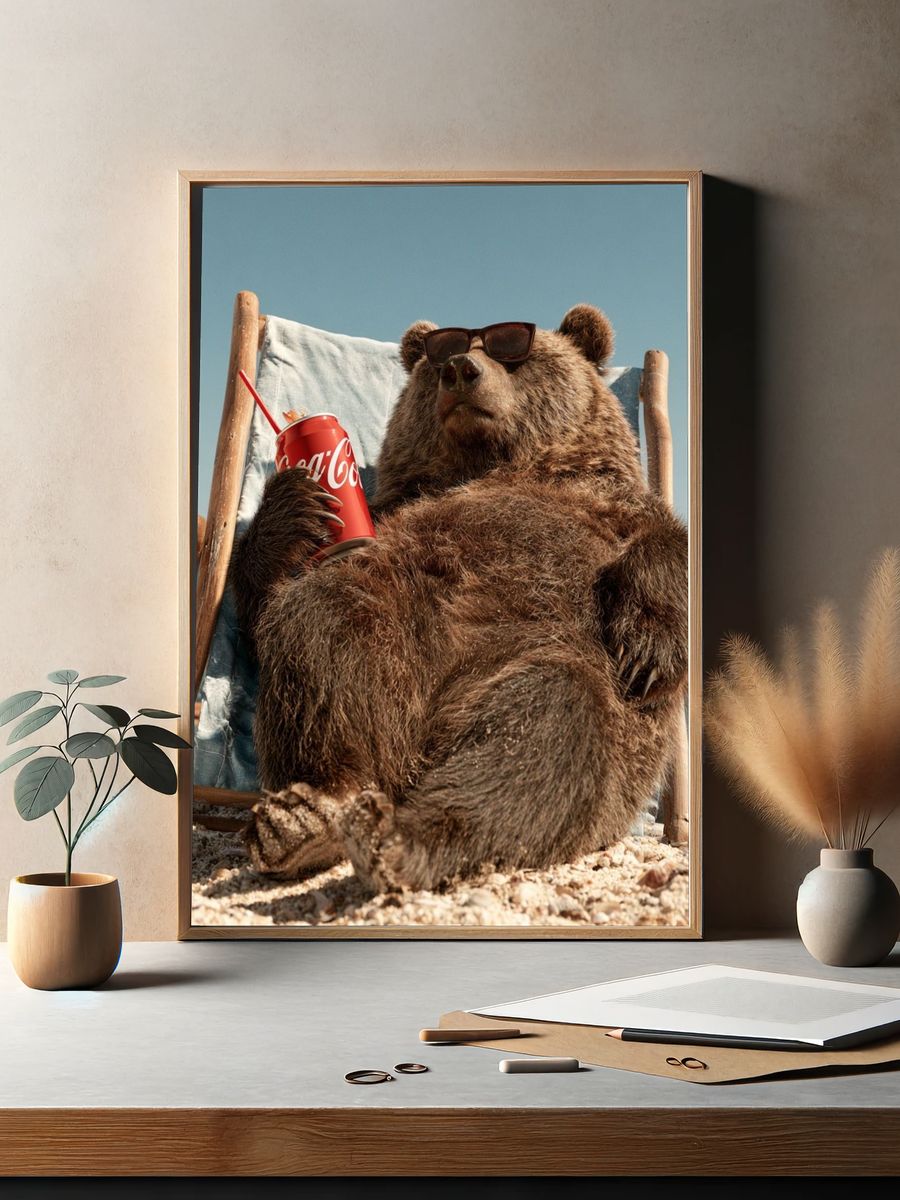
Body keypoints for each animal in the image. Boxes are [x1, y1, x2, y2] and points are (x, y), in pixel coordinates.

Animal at [230, 305, 688, 893]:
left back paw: (399, 838)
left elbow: (668, 549)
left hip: (561, 687)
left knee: (544, 726)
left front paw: (647, 648)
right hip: (394, 645)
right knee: (324, 625)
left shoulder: (610, 507)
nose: (461, 369)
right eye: (441, 355)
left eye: (513, 350)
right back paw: (306, 817)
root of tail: (420, 744)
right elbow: (266, 604)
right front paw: (296, 502)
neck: (493, 463)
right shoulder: (391, 511)